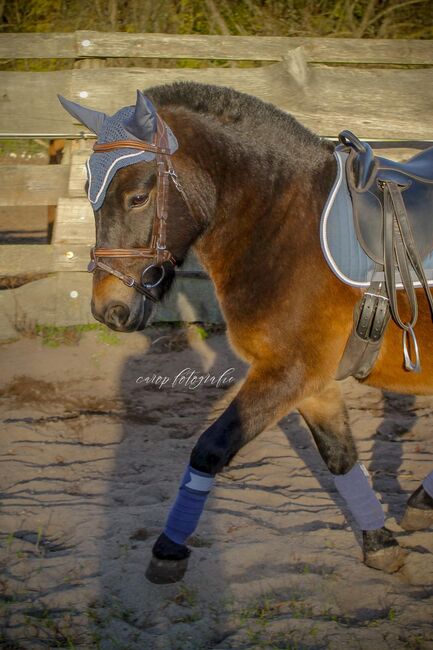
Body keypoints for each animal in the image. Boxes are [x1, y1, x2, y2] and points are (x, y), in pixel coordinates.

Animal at [58, 82, 432, 584]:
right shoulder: (311, 383)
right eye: (88, 192)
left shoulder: (288, 374)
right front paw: (379, 542)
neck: (286, 225)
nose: (108, 309)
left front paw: (169, 548)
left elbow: (210, 449)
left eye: (137, 197)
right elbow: (340, 456)